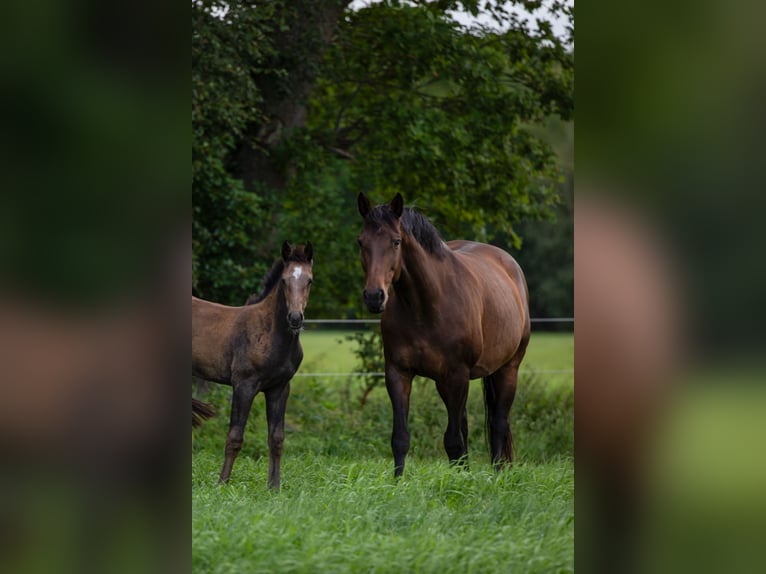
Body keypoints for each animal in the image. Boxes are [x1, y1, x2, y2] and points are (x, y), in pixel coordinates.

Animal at [192, 241, 313, 489]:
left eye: (310, 280)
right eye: (284, 280)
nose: (295, 318)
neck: (269, 332)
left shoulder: (279, 388)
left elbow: (276, 438)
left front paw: (274, 487)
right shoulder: (244, 386)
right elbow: (235, 437)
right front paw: (222, 484)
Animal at [357, 193, 530, 477]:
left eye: (396, 241)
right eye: (361, 241)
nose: (374, 296)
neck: (425, 306)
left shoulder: (457, 374)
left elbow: (453, 440)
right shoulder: (398, 373)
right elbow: (401, 438)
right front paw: (398, 482)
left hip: (507, 369)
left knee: (498, 424)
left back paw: (496, 474)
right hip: (447, 382)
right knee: (467, 426)